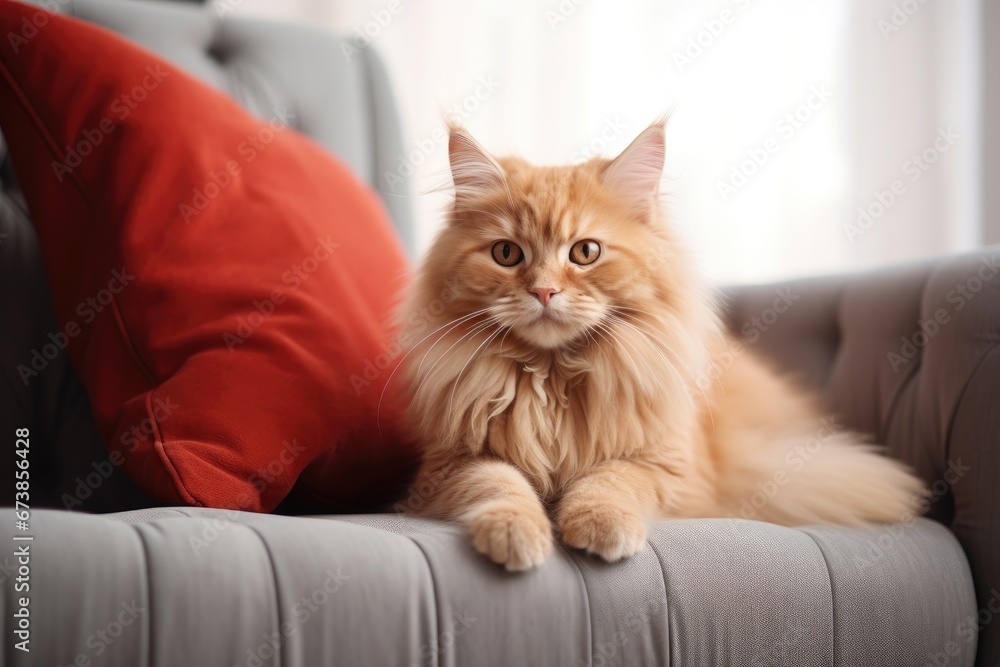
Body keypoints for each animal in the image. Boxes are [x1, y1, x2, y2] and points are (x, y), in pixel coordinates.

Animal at [396, 120, 920, 568]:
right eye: (506, 254)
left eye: (585, 252)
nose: (544, 292)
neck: (554, 379)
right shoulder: (450, 467)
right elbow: (499, 485)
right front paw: (515, 531)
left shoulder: (670, 470)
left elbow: (612, 479)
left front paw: (600, 524)